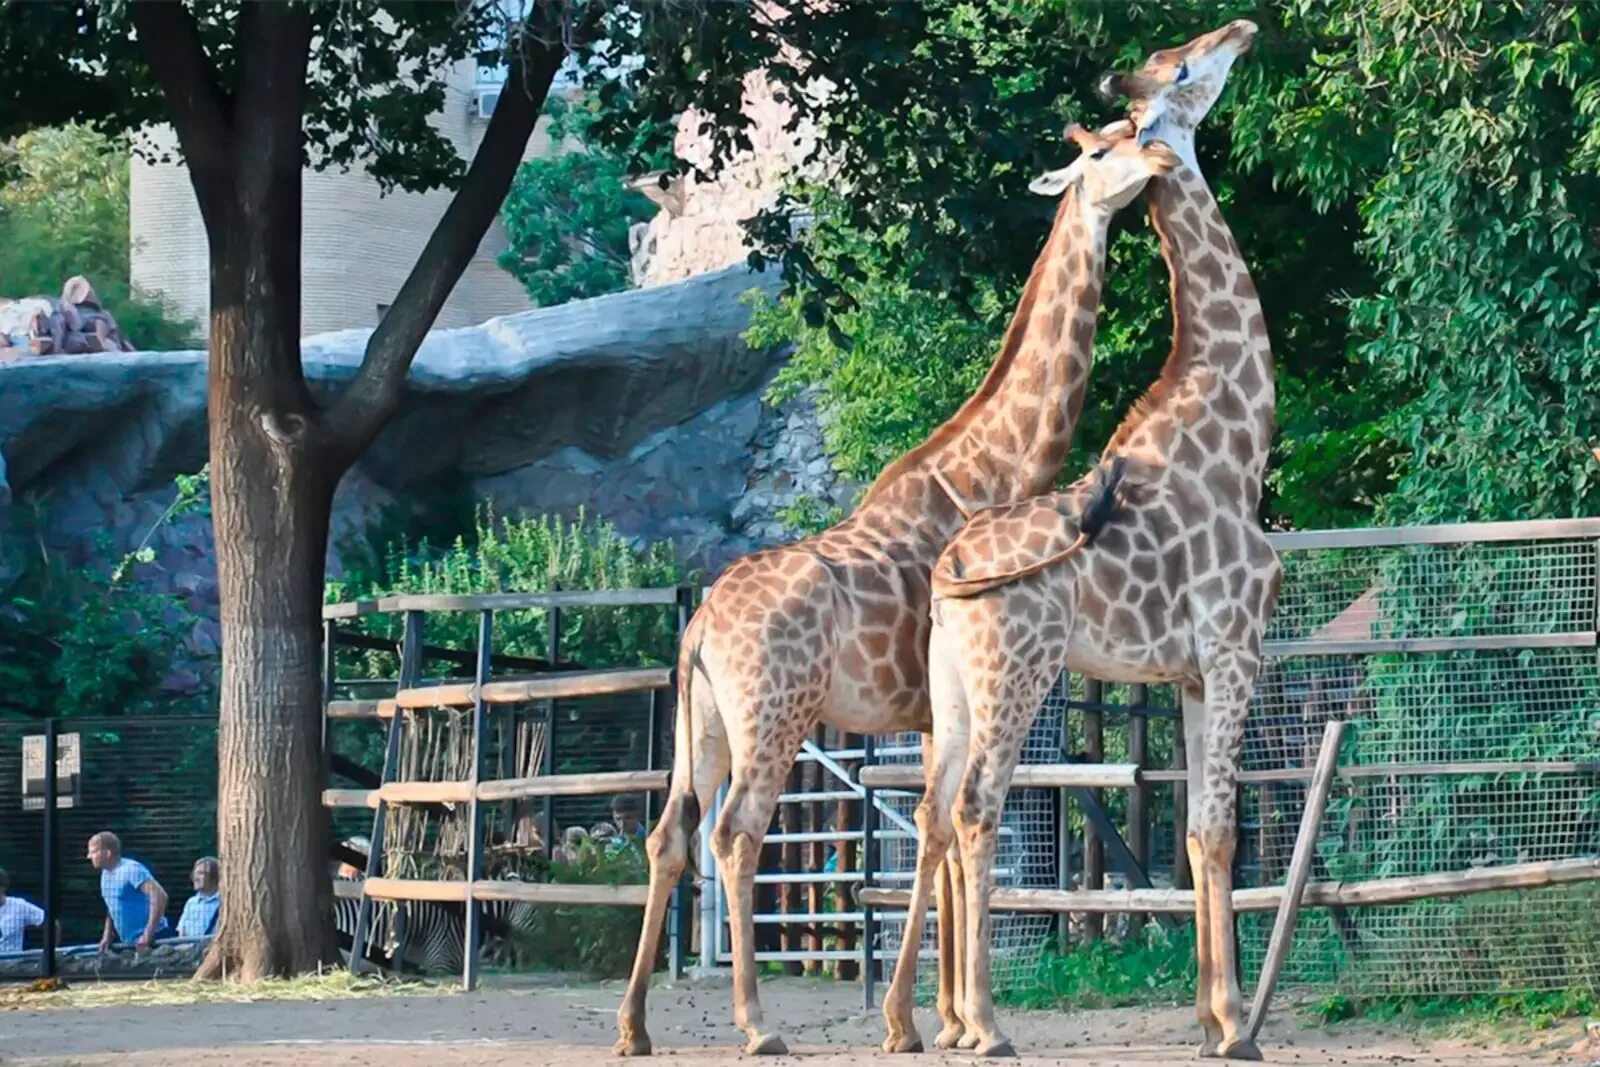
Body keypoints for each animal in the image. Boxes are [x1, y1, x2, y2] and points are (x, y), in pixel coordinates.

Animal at [617, 125, 1184, 1062]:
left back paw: (633, 1026)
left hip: (700, 723)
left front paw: (943, 1017)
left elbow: (936, 829)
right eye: (1105, 153)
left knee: (668, 835)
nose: (1164, 162)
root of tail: (699, 625)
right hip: (775, 712)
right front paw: (931, 1019)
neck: (993, 470)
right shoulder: (945, 696)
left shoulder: (925, 707)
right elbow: (942, 826)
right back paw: (757, 1024)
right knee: (735, 834)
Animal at [883, 20, 1280, 1062]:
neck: (1238, 438)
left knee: (938, 806)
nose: (1243, 28)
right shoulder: (1236, 649)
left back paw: (931, 1020)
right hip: (1017, 671)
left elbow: (1196, 836)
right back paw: (984, 1026)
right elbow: (1222, 829)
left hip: (952, 682)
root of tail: (947, 568)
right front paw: (1238, 1028)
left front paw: (1212, 1015)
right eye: (1183, 65)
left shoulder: (1191, 670)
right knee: (978, 806)